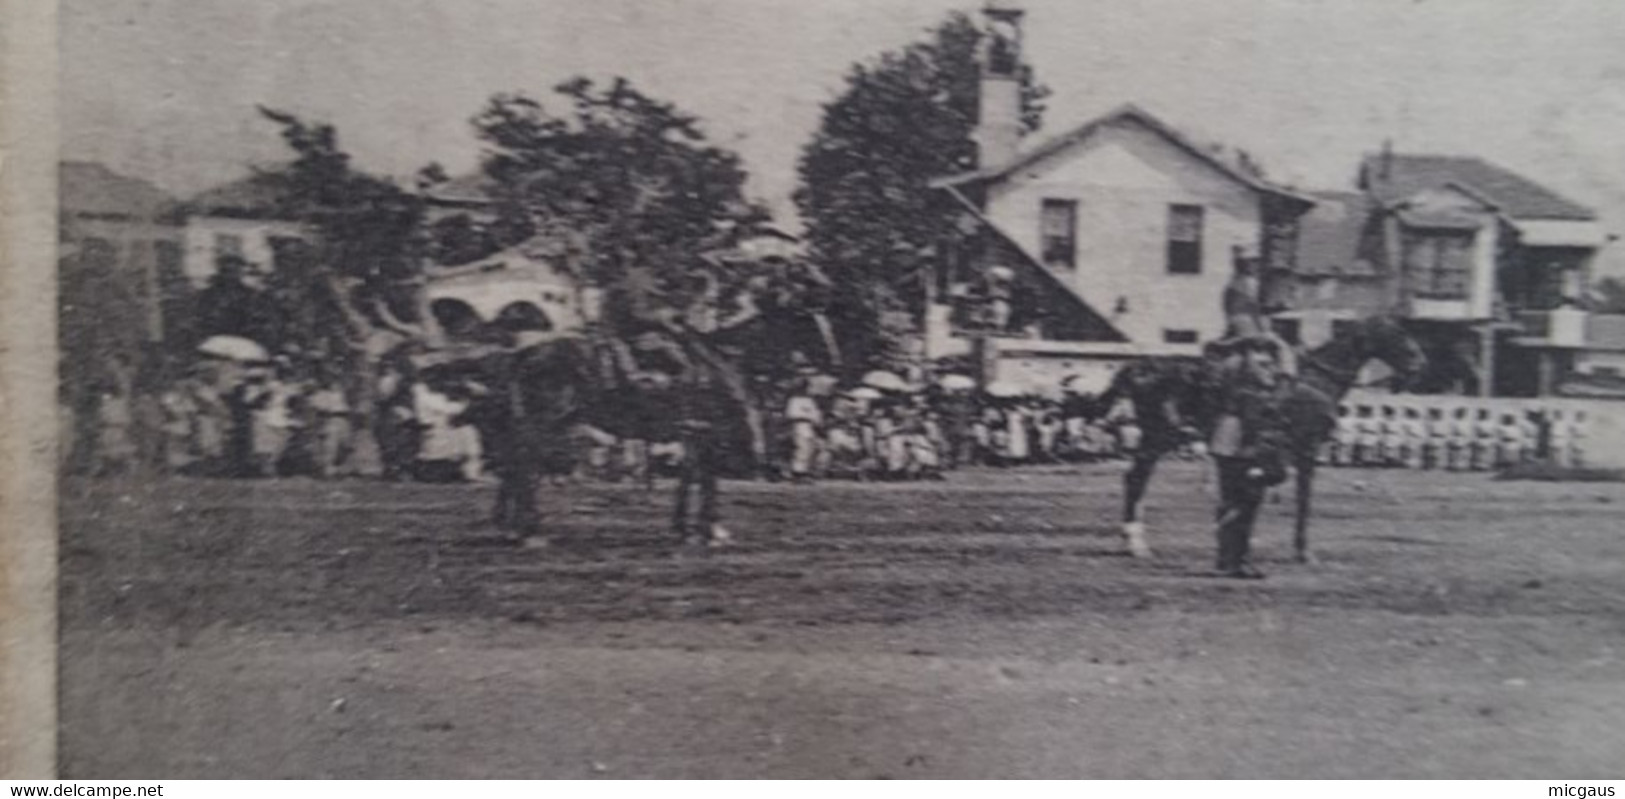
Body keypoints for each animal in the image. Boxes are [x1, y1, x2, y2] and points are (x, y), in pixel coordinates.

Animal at [1098, 316, 1430, 561]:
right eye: (1398, 333)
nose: (1419, 364)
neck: (1316, 382)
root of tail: (1140, 366)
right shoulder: (1305, 451)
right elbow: (1303, 500)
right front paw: (1302, 551)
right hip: (1159, 437)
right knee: (1136, 479)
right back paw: (1137, 544)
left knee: (1135, 479)